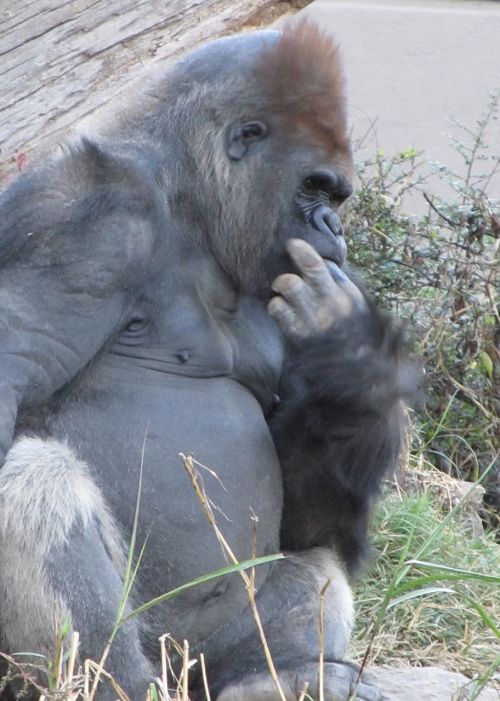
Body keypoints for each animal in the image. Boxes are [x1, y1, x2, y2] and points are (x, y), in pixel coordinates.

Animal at [0, 21, 414, 700]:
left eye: (337, 194)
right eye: (315, 187)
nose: (335, 227)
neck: (189, 200)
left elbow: (308, 519)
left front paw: (349, 351)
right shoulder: (83, 211)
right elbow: (11, 384)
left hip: (201, 661)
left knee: (312, 569)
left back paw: (275, 677)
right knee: (37, 479)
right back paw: (112, 684)